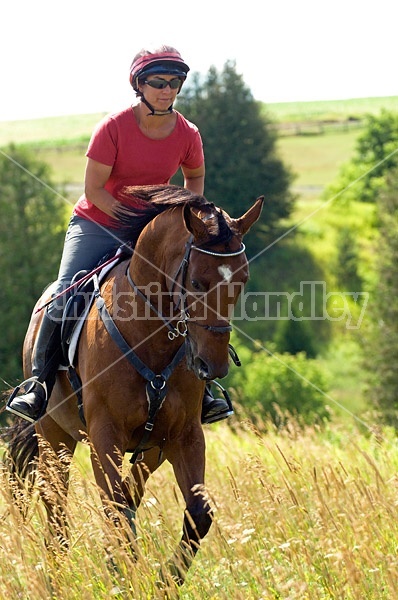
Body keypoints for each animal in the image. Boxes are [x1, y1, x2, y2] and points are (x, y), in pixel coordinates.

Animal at [4, 186, 264, 584]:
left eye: (243, 280)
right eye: (196, 282)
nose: (213, 366)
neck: (149, 335)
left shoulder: (185, 435)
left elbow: (198, 513)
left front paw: (165, 578)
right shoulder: (104, 435)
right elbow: (114, 507)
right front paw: (125, 573)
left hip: (150, 449)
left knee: (131, 493)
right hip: (55, 437)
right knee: (57, 502)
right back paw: (56, 569)